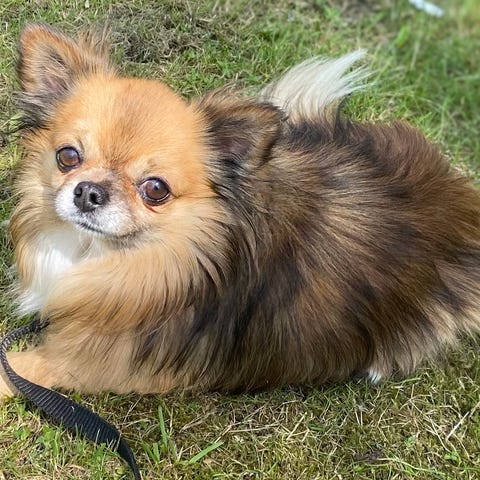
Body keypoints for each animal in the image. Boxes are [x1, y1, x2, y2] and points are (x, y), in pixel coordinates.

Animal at [1, 23, 479, 398]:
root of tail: (457, 197)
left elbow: (14, 370)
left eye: (155, 189)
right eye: (68, 156)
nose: (88, 193)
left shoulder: (84, 361)